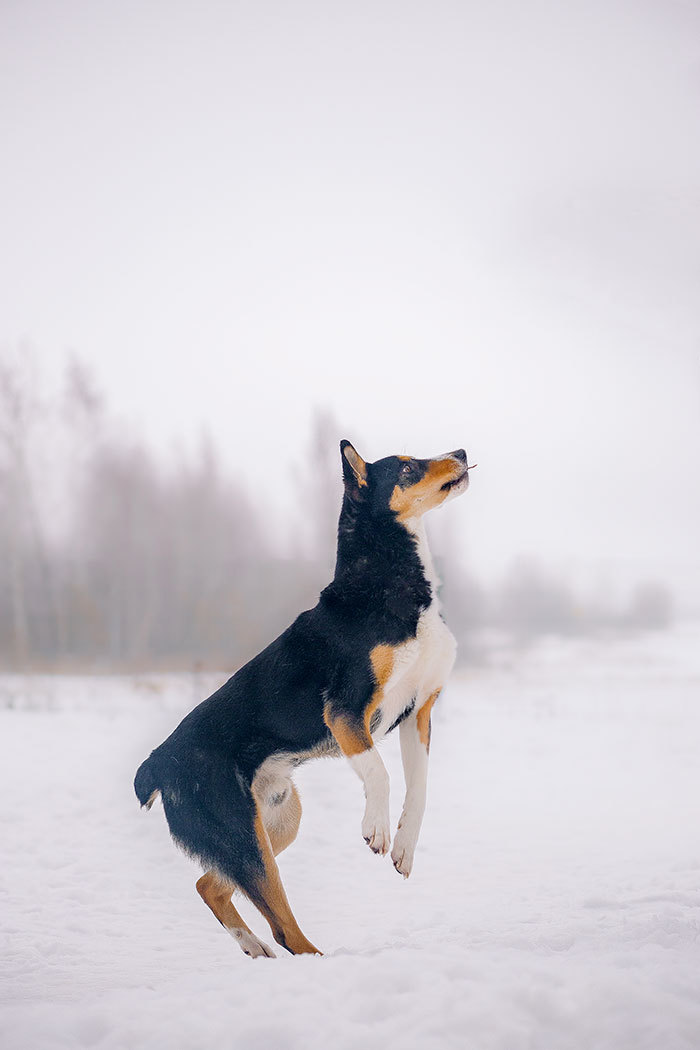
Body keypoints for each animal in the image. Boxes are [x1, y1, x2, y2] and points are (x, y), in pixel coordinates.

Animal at [134, 443, 474, 961]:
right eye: (407, 466)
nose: (461, 451)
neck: (388, 585)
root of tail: (157, 761)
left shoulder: (419, 713)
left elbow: (419, 790)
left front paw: (404, 848)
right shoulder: (346, 712)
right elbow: (379, 773)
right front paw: (376, 829)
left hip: (275, 823)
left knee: (212, 887)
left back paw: (255, 950)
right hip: (242, 836)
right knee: (282, 924)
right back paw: (314, 960)